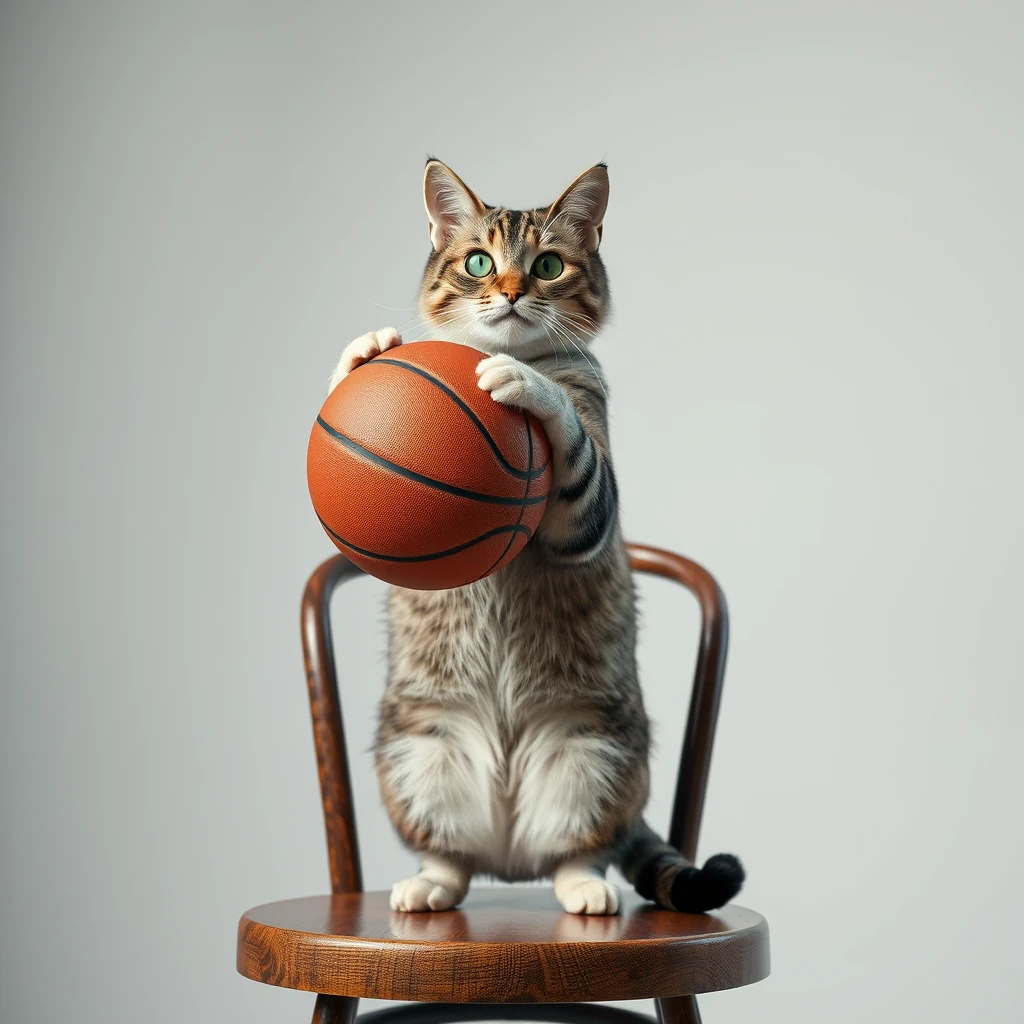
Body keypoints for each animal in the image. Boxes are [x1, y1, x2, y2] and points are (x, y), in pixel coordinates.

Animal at [327, 161, 745, 921]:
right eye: (478, 262)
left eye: (548, 265)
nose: (513, 290)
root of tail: (507, 856)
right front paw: (364, 352)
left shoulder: (589, 508)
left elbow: (569, 431)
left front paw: (527, 383)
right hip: (417, 755)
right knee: (452, 858)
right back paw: (428, 885)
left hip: (593, 758)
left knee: (576, 853)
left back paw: (585, 892)